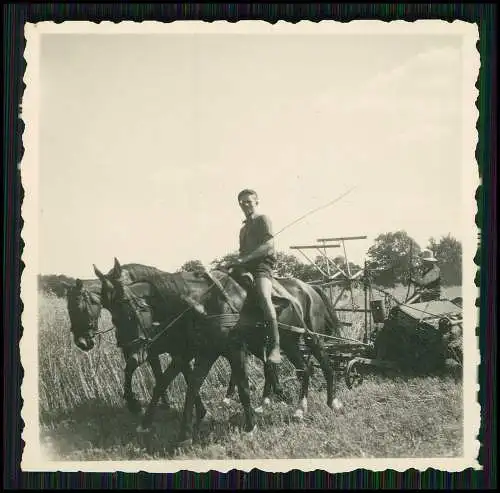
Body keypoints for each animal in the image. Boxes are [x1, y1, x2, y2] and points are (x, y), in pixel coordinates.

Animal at [94, 256, 344, 444]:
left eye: (128, 313)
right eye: (112, 316)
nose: (132, 353)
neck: (201, 303)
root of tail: (310, 287)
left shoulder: (233, 350)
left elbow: (242, 387)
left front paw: (250, 426)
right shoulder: (199, 351)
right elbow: (180, 383)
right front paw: (174, 430)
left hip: (312, 337)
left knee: (324, 363)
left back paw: (332, 401)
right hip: (288, 342)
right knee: (304, 368)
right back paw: (299, 408)